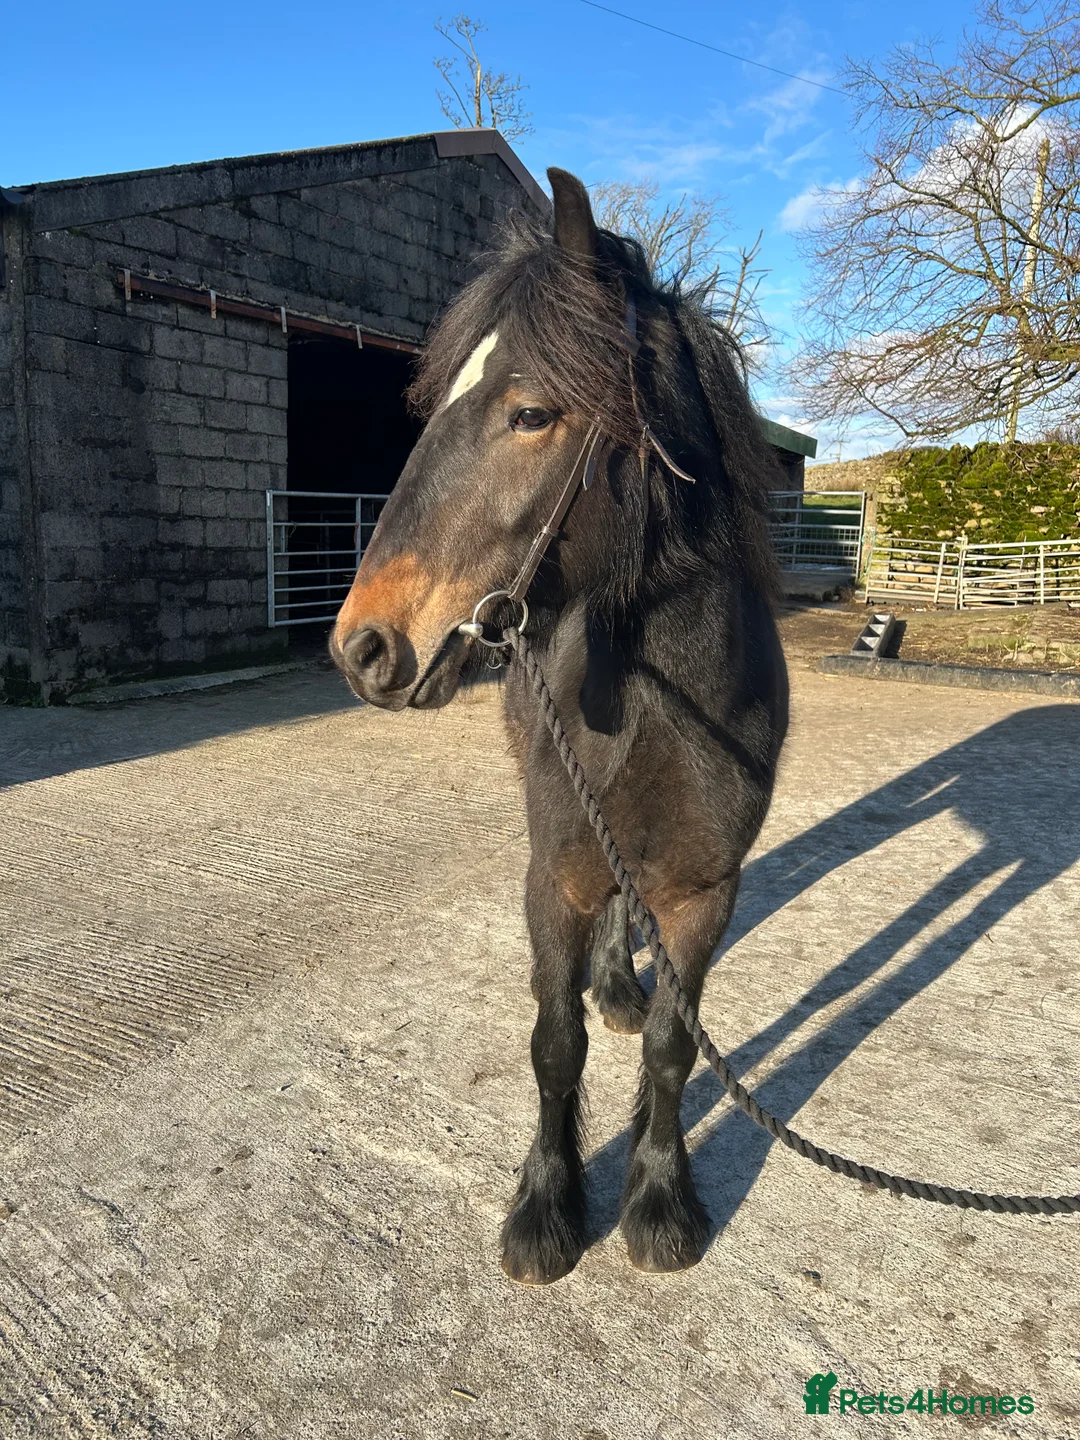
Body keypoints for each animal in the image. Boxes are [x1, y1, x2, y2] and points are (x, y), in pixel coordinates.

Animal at [330, 169, 789, 1285]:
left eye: (530, 412)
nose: (361, 644)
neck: (665, 702)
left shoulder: (707, 890)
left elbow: (674, 1043)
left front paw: (659, 1203)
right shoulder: (554, 875)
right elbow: (553, 1041)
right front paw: (545, 1209)